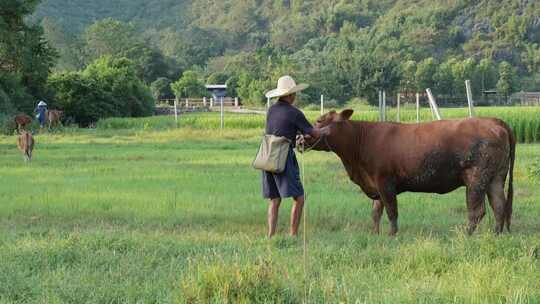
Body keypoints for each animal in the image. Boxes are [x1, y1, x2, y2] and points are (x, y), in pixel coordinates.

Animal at [304, 110, 516, 236]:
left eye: (319, 120)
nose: (301, 138)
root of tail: (493, 121)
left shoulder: (385, 182)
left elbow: (391, 211)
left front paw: (392, 235)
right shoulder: (376, 184)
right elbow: (375, 212)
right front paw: (375, 234)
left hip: (476, 179)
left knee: (477, 210)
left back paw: (466, 235)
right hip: (495, 178)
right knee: (499, 205)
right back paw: (496, 234)